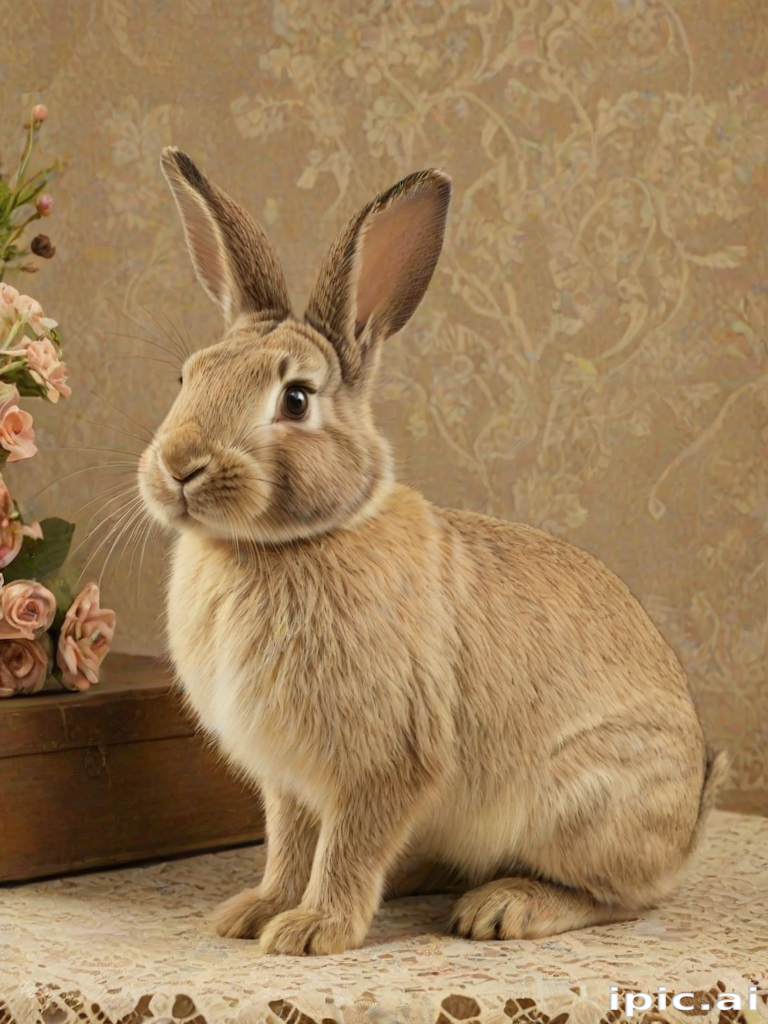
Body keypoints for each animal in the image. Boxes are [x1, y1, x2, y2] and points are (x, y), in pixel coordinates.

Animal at [138, 146, 728, 956]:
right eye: (187, 376)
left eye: (296, 399)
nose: (179, 467)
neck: (284, 543)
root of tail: (688, 828)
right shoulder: (288, 780)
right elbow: (289, 844)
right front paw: (255, 913)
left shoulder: (385, 762)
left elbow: (347, 847)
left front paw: (314, 931)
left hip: (583, 803)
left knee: (623, 897)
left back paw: (505, 909)